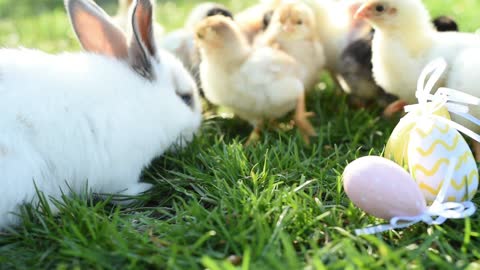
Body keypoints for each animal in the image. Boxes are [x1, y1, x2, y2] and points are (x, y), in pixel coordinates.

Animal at [0, 0, 202, 229]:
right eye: (185, 98)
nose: (195, 133)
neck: (143, 100)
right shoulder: (122, 171)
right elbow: (122, 192)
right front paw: (145, 188)